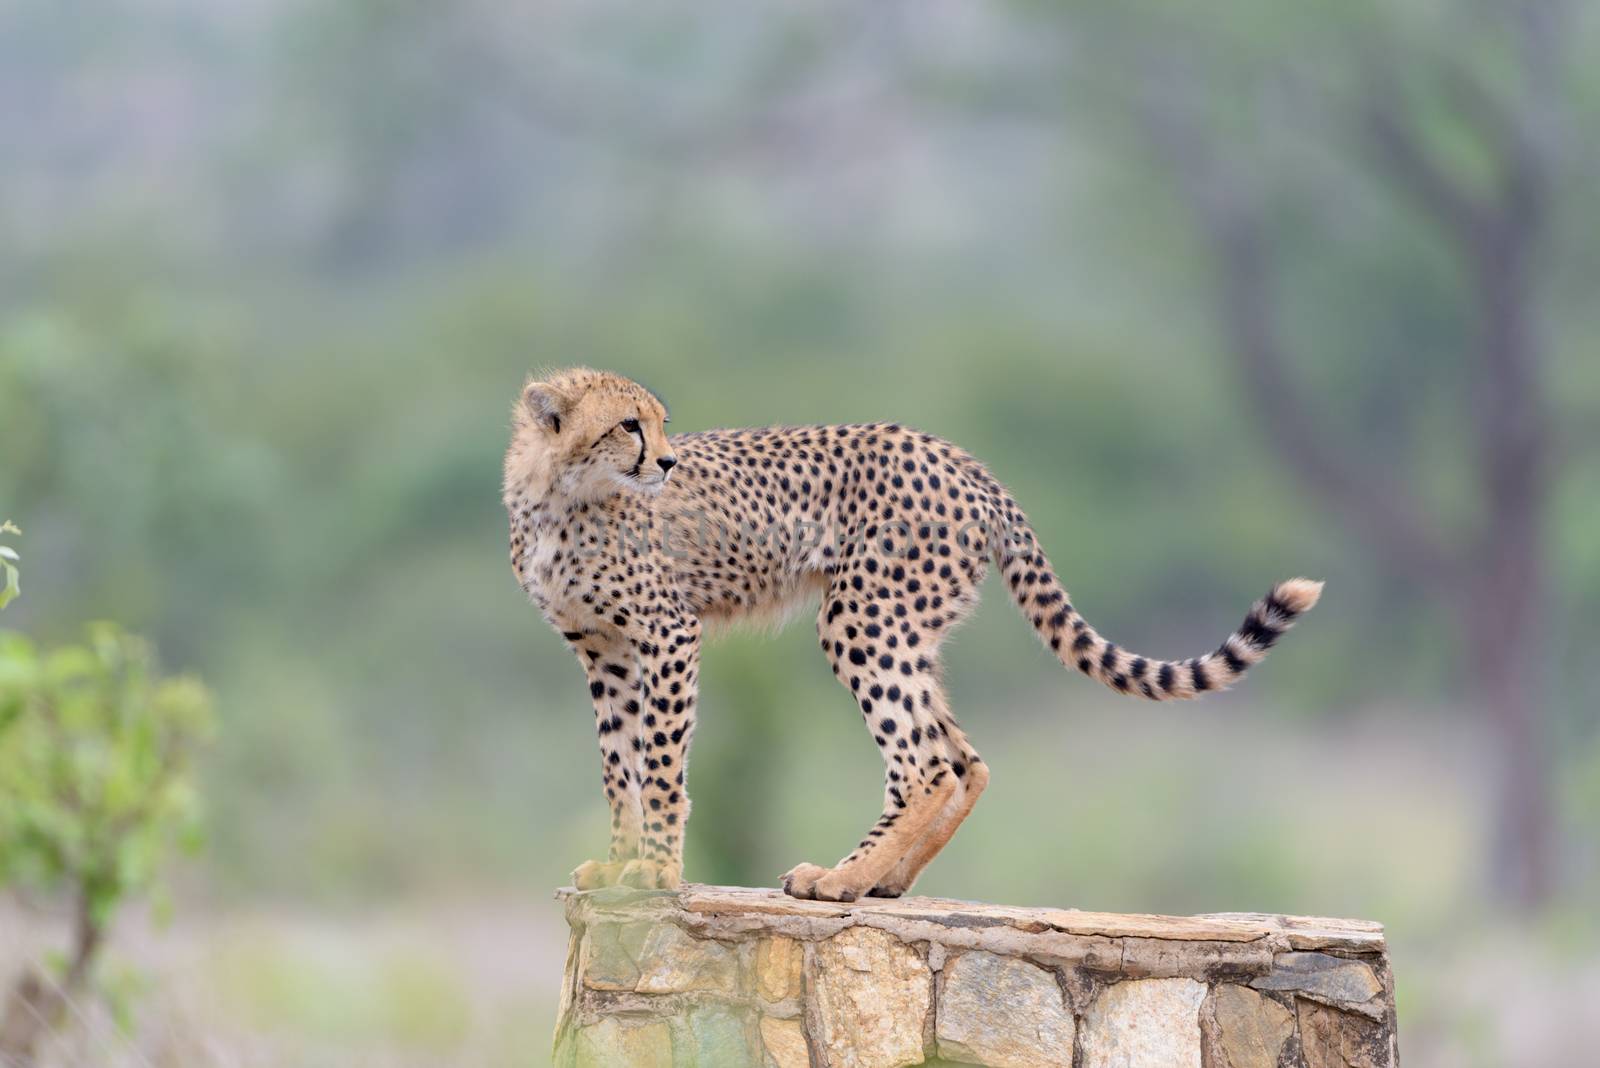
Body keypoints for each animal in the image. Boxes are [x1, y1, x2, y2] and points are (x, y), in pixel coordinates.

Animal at [502, 367, 1324, 901]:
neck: (559, 494)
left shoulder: (667, 634)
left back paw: (843, 878)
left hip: (861, 618)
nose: (668, 462)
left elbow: (661, 765)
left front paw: (654, 873)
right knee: (963, 760)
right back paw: (884, 877)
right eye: (628, 425)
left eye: (660, 424)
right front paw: (617, 865)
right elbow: (618, 767)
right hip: (903, 627)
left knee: (926, 765)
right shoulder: (603, 650)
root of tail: (963, 460)